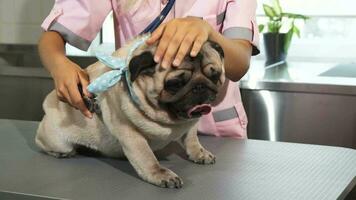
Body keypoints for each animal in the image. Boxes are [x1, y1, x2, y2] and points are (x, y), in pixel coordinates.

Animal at [36, 35, 225, 188]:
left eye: (215, 76)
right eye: (175, 84)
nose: (200, 86)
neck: (169, 121)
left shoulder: (190, 124)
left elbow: (191, 138)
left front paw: (199, 153)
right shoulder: (130, 134)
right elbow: (146, 156)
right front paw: (161, 174)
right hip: (57, 140)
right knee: (42, 142)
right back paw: (60, 152)